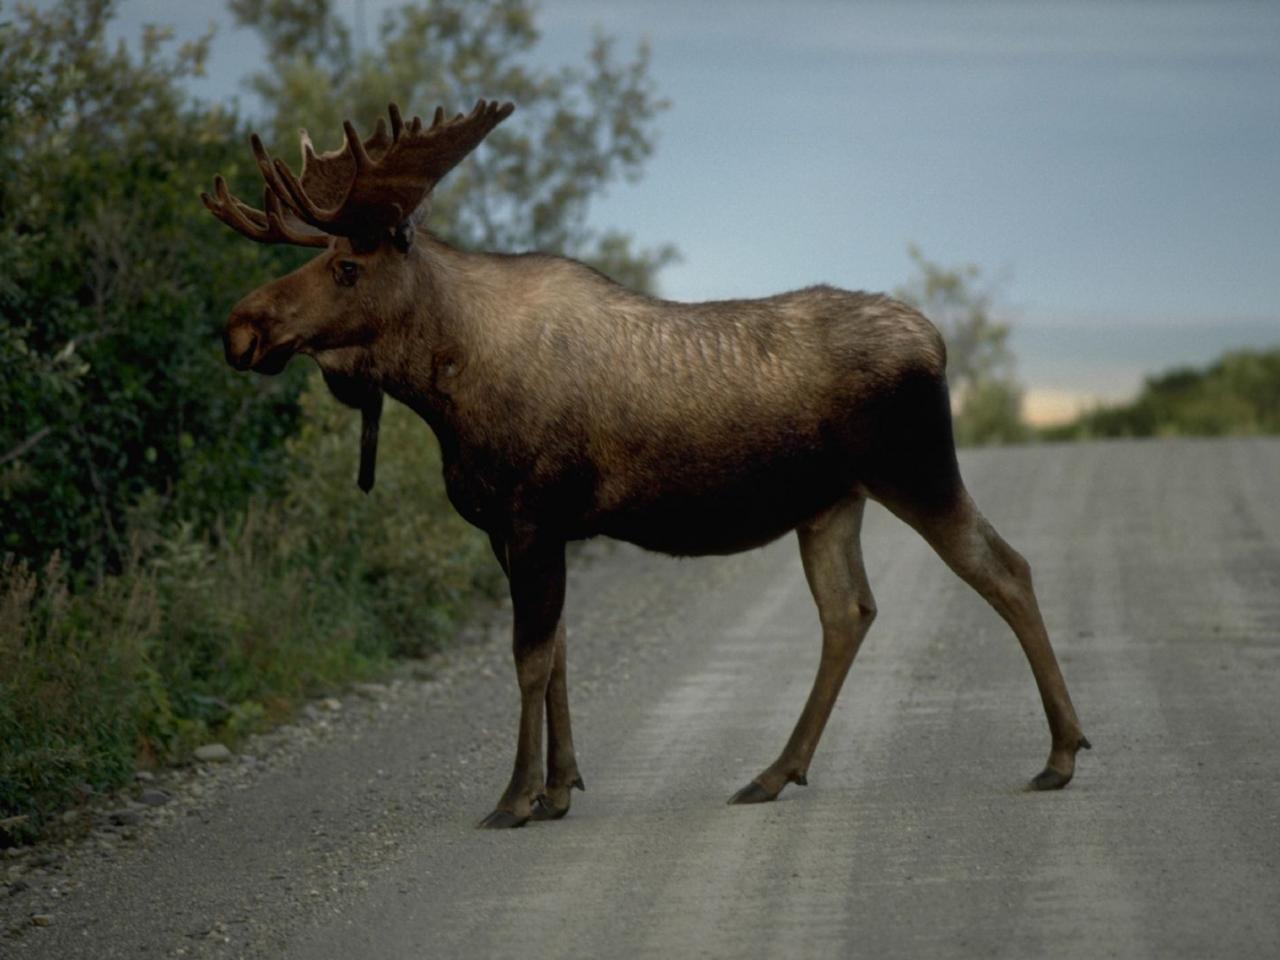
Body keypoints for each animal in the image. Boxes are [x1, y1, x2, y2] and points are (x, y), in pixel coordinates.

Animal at [199, 101, 1090, 829]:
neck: (445, 389)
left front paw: (514, 797)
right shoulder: (518, 531)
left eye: (346, 266)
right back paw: (774, 772)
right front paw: (560, 789)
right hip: (831, 504)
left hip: (917, 471)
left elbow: (529, 657)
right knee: (850, 613)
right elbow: (557, 651)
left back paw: (1061, 752)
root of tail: (935, 342)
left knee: (1005, 568)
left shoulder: (531, 516)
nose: (240, 328)